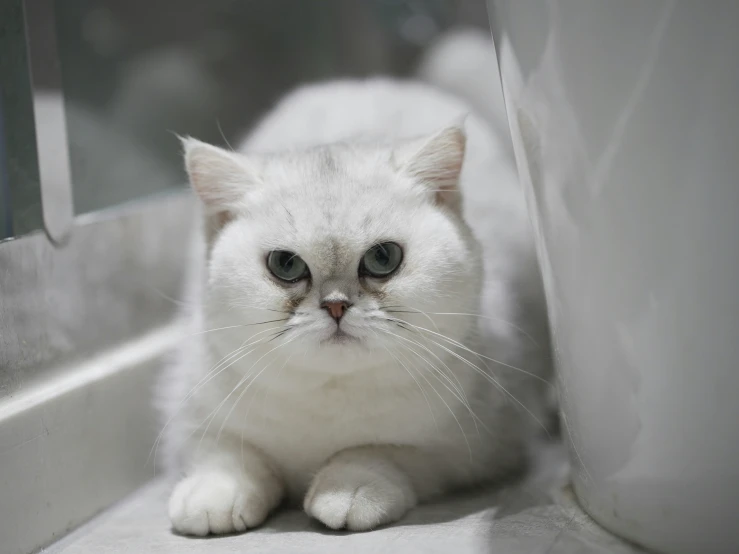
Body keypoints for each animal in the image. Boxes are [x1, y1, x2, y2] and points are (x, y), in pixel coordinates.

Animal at [160, 75, 556, 532]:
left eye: (383, 258)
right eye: (285, 265)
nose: (335, 305)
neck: (328, 395)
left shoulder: (475, 448)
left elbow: (380, 451)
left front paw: (349, 489)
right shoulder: (191, 416)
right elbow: (228, 452)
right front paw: (215, 495)